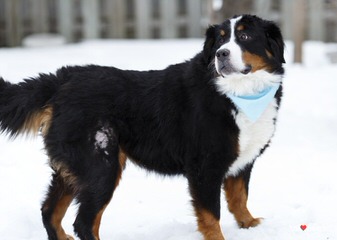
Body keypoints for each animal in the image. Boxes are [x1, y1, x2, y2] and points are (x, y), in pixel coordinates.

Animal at [0, 14, 284, 240]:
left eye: (245, 35)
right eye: (220, 41)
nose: (220, 54)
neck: (237, 94)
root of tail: (61, 80)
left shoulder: (243, 160)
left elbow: (239, 198)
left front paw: (250, 225)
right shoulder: (206, 167)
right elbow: (211, 214)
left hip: (75, 168)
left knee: (50, 212)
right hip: (101, 167)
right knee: (84, 222)